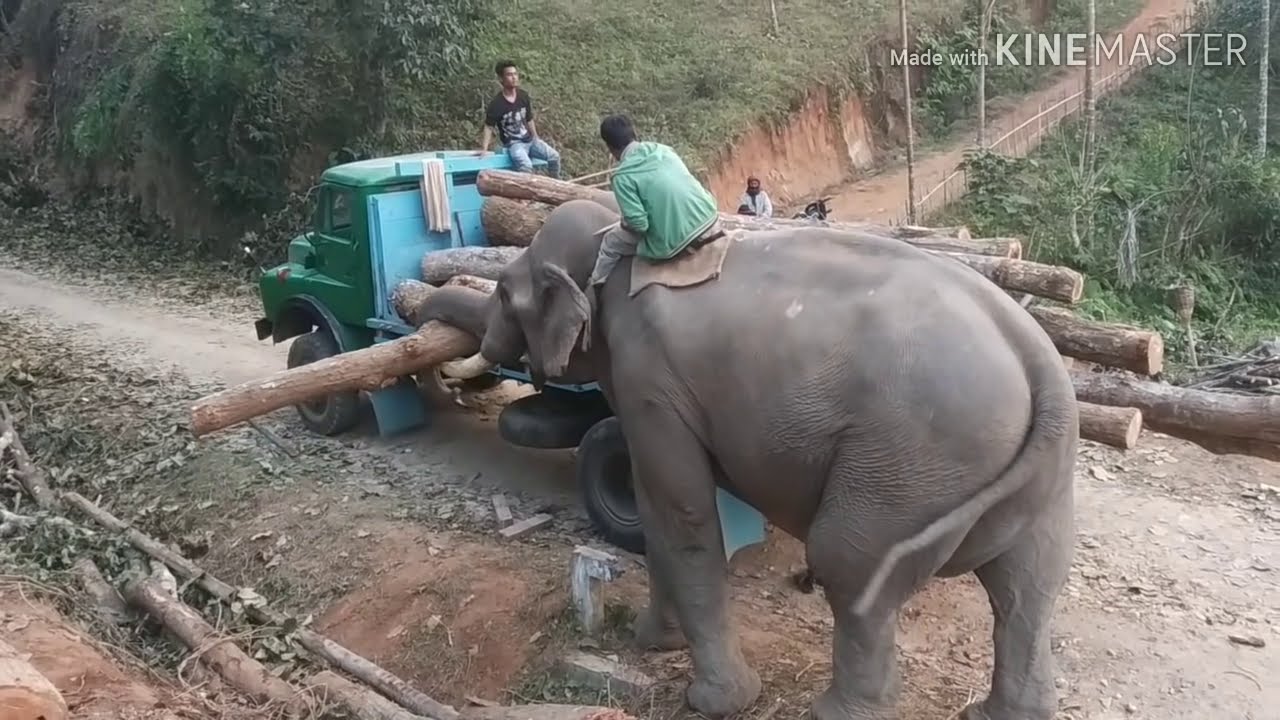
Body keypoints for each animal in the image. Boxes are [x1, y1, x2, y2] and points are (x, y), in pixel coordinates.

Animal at [427, 197, 1079, 720]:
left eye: (504, 293)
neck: (619, 242)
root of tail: (1037, 361)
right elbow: (657, 506)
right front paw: (648, 642)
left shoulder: (650, 379)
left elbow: (681, 514)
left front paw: (713, 702)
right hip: (1034, 476)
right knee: (1028, 585)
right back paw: (996, 714)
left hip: (912, 461)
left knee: (847, 563)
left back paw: (836, 713)